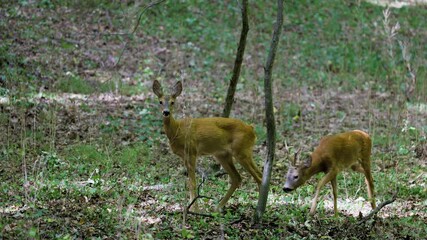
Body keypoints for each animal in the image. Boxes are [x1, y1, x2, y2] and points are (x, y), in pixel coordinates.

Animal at [152, 80, 262, 212]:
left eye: (173, 102)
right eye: (160, 101)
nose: (166, 112)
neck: (177, 130)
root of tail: (251, 129)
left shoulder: (192, 151)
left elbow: (193, 183)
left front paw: (195, 209)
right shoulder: (184, 156)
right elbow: (190, 182)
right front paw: (192, 207)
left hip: (241, 151)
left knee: (258, 178)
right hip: (223, 155)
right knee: (239, 178)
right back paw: (218, 207)